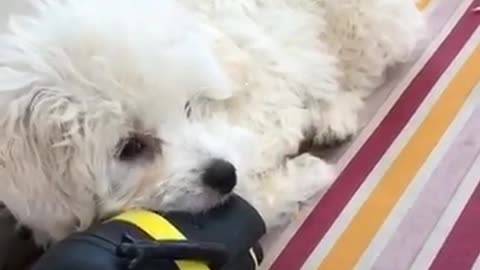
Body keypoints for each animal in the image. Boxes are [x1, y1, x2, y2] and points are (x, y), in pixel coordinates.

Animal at [0, 0, 422, 245]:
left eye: (189, 106)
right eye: (130, 147)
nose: (222, 174)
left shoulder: (263, 96)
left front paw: (302, 174)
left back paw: (333, 113)